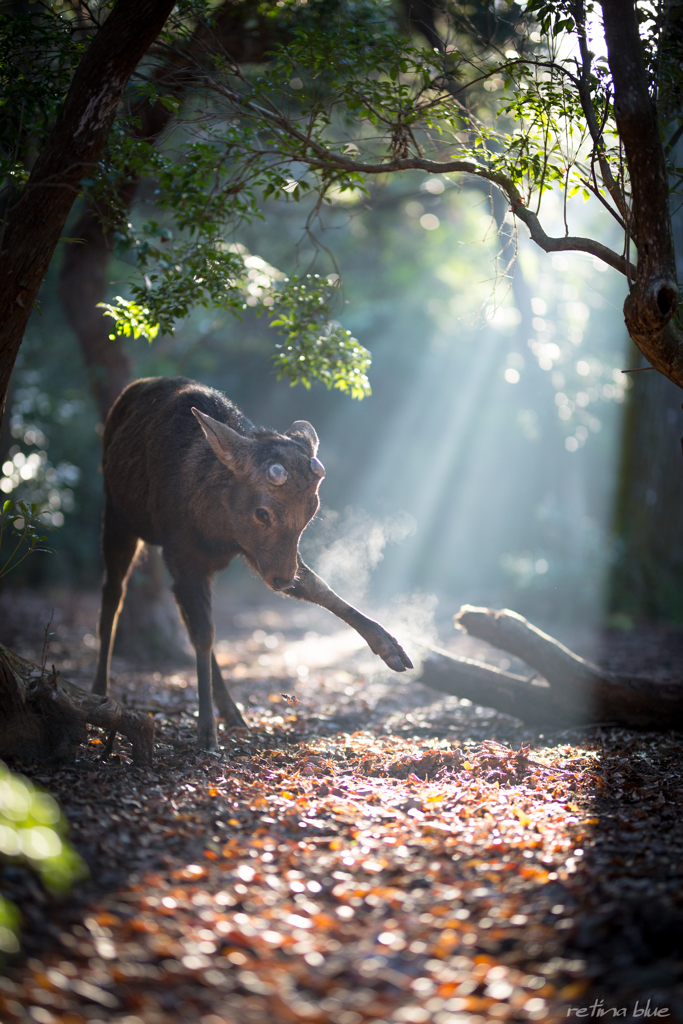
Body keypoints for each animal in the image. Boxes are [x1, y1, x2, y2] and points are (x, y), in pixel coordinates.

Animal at [90, 376, 411, 745]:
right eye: (263, 512)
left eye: (311, 512)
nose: (284, 580)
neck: (216, 526)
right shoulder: (182, 553)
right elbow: (205, 633)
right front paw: (206, 731)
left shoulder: (257, 553)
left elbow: (320, 588)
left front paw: (388, 645)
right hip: (116, 513)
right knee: (113, 597)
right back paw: (99, 692)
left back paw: (231, 711)